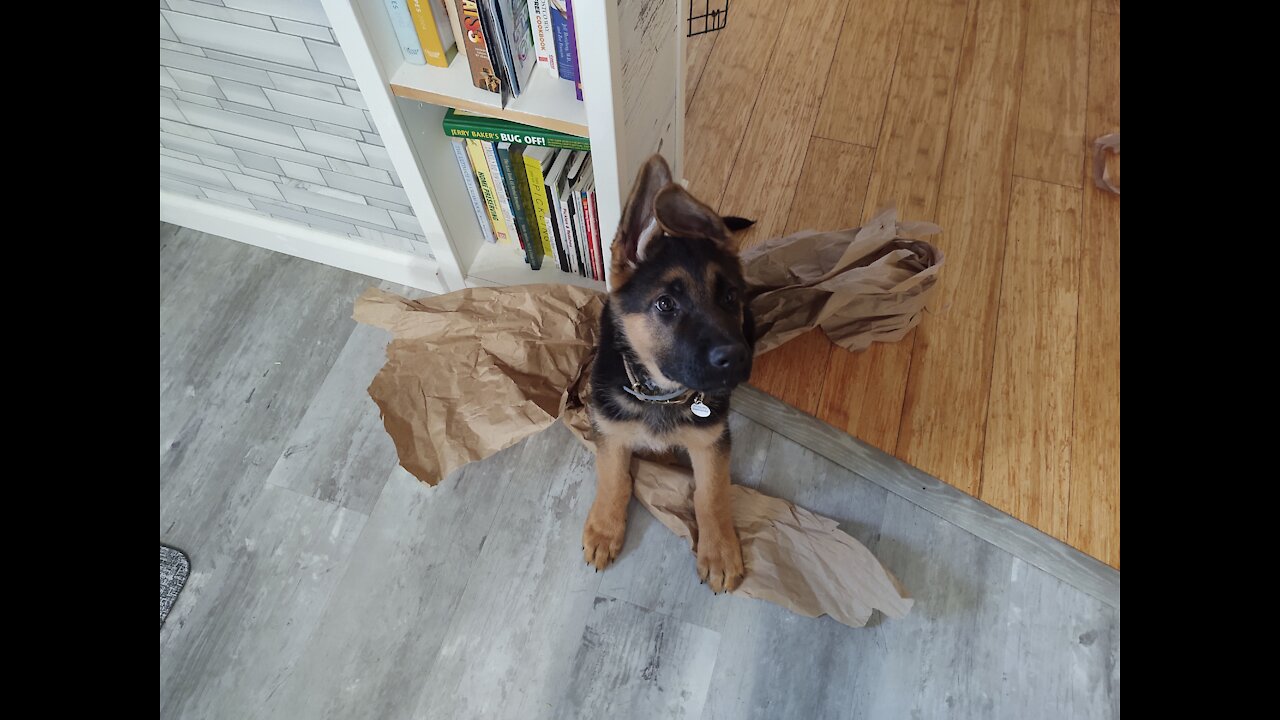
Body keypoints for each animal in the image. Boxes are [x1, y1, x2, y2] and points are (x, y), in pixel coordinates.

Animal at [586, 154, 752, 591]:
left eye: (730, 296)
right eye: (665, 304)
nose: (737, 357)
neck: (660, 393)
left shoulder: (712, 440)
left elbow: (711, 494)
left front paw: (719, 550)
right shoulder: (610, 431)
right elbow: (614, 478)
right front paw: (605, 528)